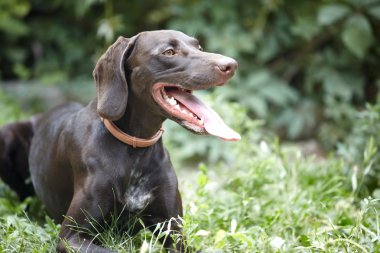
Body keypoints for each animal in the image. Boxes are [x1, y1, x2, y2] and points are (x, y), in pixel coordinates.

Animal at [0, 29, 238, 251]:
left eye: (199, 47)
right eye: (169, 52)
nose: (231, 65)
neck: (136, 147)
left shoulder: (174, 232)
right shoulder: (71, 236)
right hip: (6, 136)